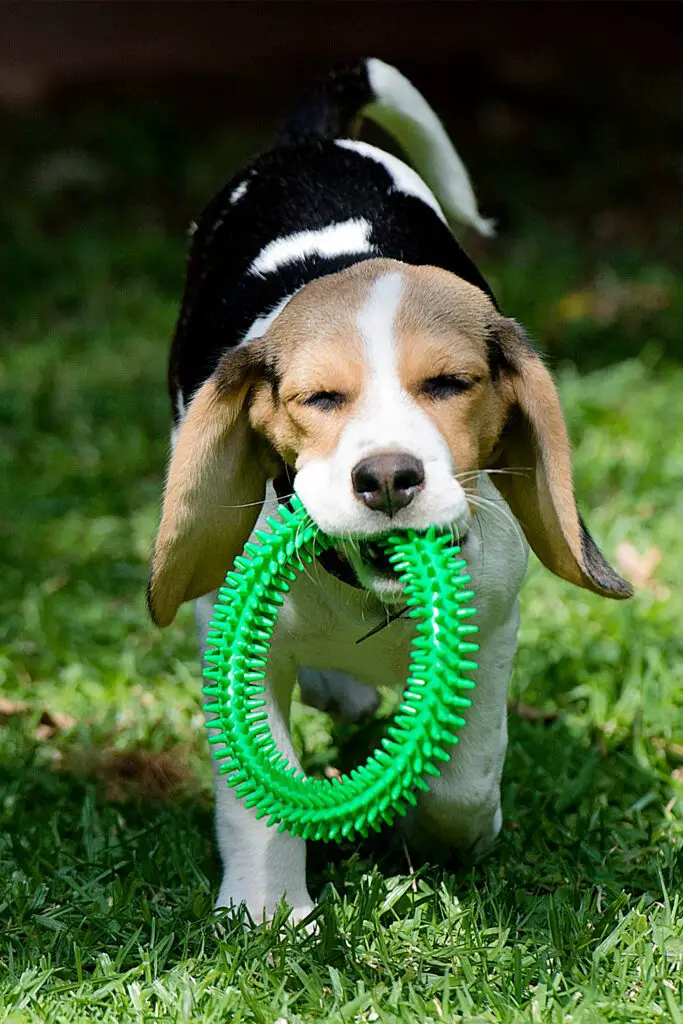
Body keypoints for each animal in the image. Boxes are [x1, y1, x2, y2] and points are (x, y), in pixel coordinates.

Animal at [148, 56, 630, 925]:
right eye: (318, 399)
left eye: (448, 384)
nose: (386, 479)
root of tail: (311, 141)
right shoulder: (236, 649)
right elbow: (259, 802)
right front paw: (270, 913)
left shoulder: (492, 625)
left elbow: (465, 775)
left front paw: (447, 840)